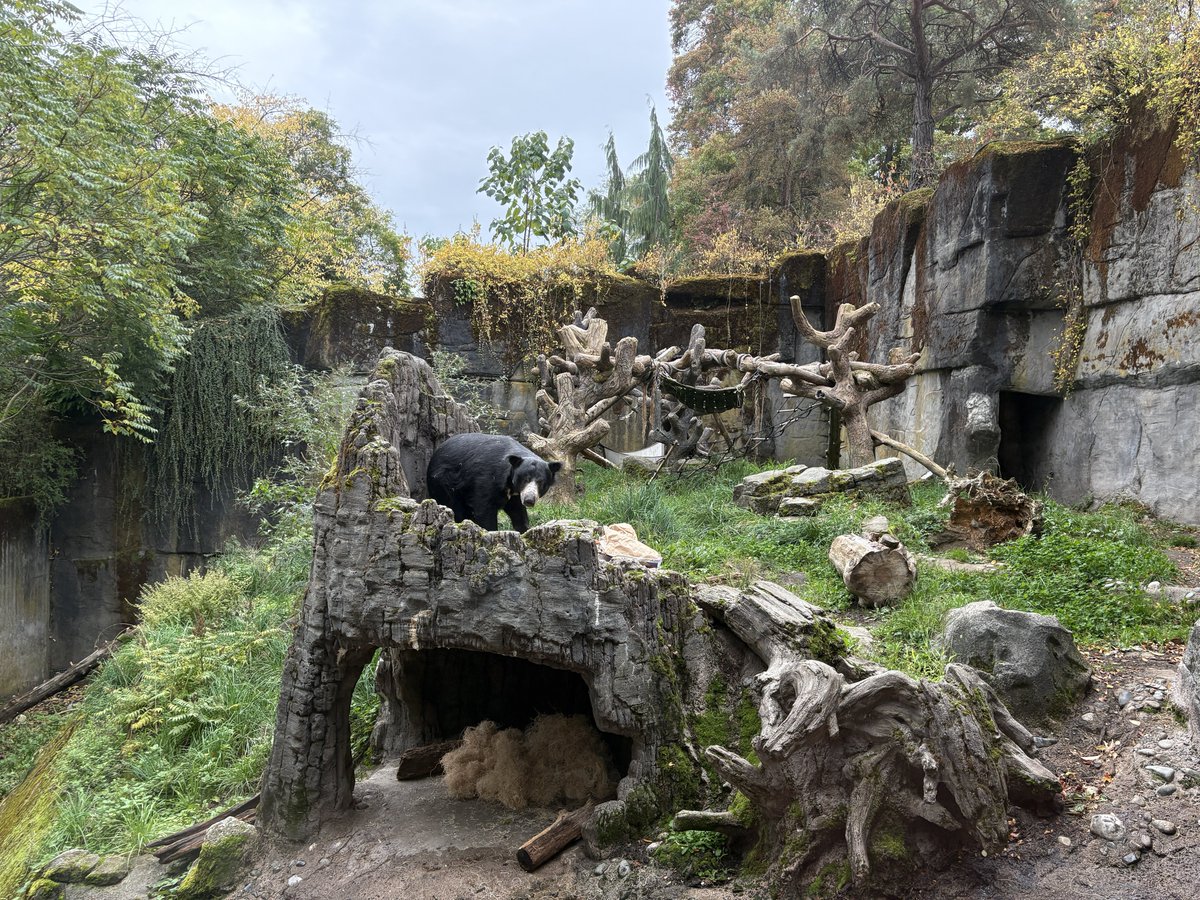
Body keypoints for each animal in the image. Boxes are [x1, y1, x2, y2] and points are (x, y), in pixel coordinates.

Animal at [426, 433, 562, 533]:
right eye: (524, 479)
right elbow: (484, 509)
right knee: (455, 507)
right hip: (444, 483)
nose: (529, 500)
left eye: (541, 482)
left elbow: (518, 512)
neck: (510, 485)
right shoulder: (485, 480)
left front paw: (524, 530)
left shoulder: (515, 495)